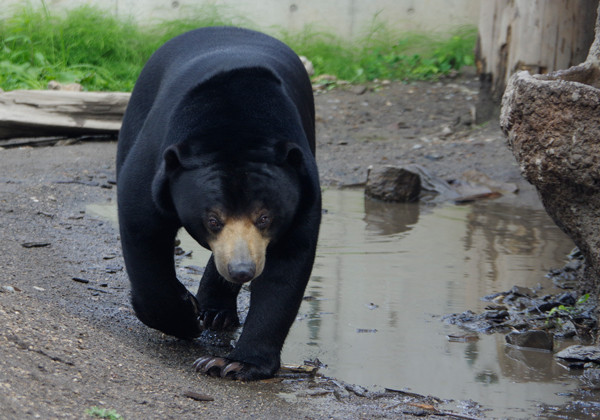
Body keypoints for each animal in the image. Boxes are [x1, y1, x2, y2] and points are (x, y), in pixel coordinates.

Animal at [118, 26, 324, 380]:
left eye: (265, 217)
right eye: (213, 220)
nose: (242, 270)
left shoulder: (302, 187)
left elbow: (288, 264)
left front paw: (233, 363)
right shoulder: (155, 164)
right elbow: (141, 226)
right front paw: (186, 317)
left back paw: (217, 312)